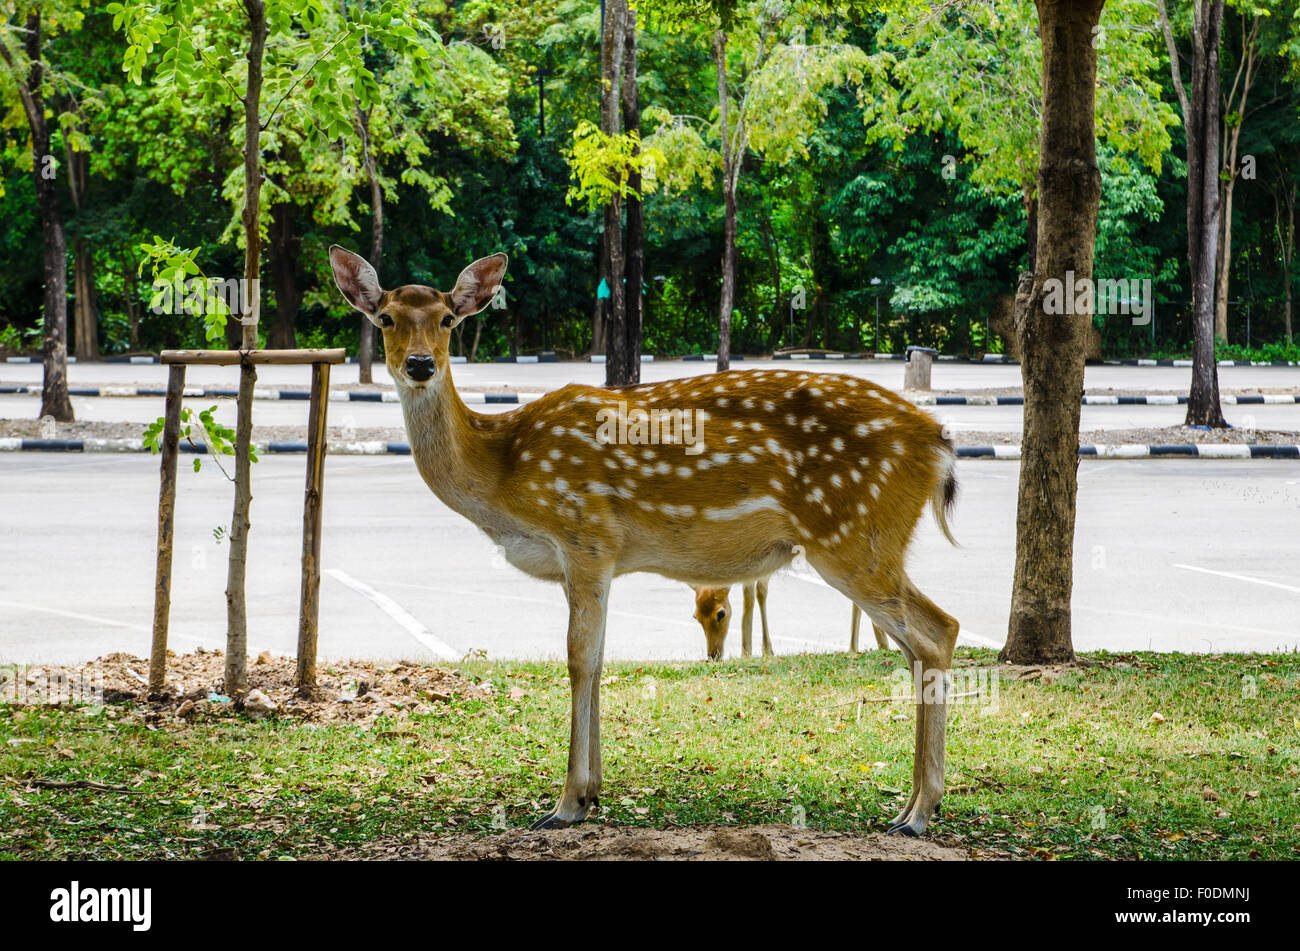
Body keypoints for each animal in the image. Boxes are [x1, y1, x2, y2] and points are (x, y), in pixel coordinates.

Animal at [686, 579, 889, 659]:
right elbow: (749, 593)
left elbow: (759, 591)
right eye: (695, 617)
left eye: (721, 613)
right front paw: (748, 652)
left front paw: (764, 650)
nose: (713, 654)